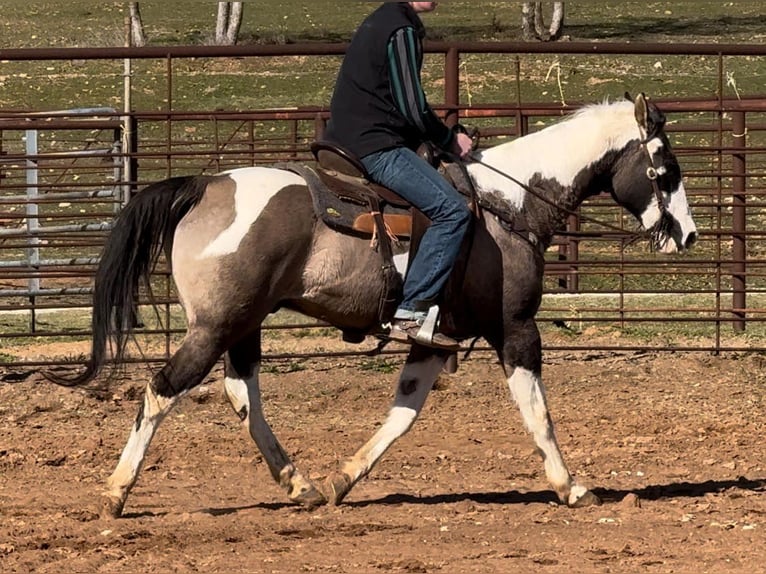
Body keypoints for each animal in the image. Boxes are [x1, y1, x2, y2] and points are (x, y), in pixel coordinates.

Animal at [46, 92, 696, 520]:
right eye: (666, 169)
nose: (687, 236)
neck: (507, 206)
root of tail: (206, 185)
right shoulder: (515, 330)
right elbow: (537, 413)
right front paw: (571, 486)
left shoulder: (435, 340)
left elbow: (402, 414)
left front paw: (344, 478)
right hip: (216, 326)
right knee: (161, 389)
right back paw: (117, 491)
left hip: (243, 323)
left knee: (241, 394)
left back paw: (301, 484)